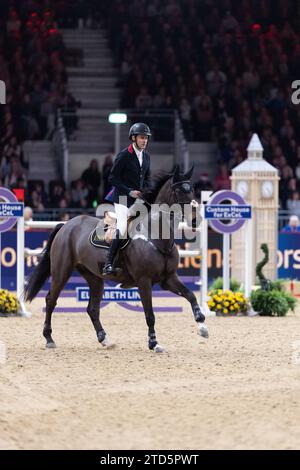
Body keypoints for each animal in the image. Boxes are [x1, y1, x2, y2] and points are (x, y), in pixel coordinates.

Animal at [24, 165, 209, 352]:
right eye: (178, 191)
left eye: (192, 190)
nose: (196, 220)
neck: (155, 238)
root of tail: (66, 225)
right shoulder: (144, 281)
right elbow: (150, 315)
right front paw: (154, 343)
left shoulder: (168, 279)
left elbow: (191, 295)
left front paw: (202, 327)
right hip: (62, 271)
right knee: (51, 300)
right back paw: (49, 338)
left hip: (94, 277)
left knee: (92, 309)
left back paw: (105, 339)